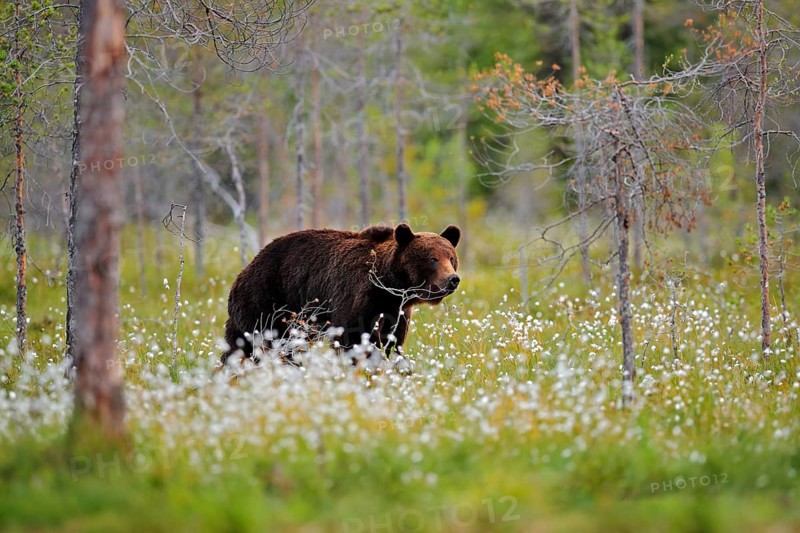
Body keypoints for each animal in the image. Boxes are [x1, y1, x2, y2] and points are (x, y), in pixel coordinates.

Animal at [221, 223, 461, 363]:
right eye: (432, 259)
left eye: (451, 258)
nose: (452, 280)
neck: (389, 285)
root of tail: (242, 274)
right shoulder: (357, 296)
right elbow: (355, 336)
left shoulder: (396, 310)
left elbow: (393, 340)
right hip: (266, 303)